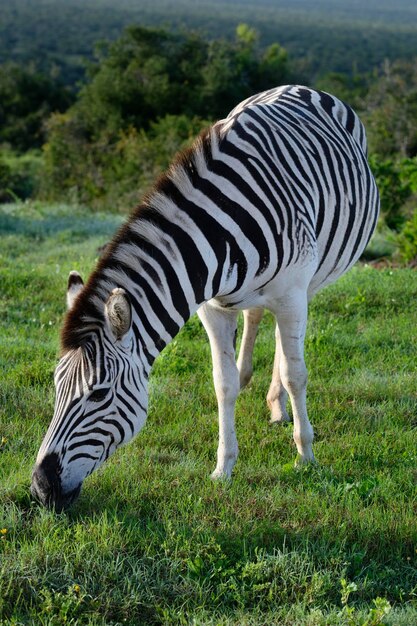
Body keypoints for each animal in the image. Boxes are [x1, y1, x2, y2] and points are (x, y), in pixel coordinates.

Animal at [30, 85, 378, 510]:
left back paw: (283, 407)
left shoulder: (293, 293)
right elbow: (223, 384)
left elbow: (298, 375)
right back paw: (268, 397)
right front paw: (223, 467)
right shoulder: (211, 308)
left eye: (98, 395)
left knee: (286, 344)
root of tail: (299, 87)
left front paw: (305, 455)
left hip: (311, 279)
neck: (220, 234)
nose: (40, 487)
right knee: (258, 320)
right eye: (56, 387)